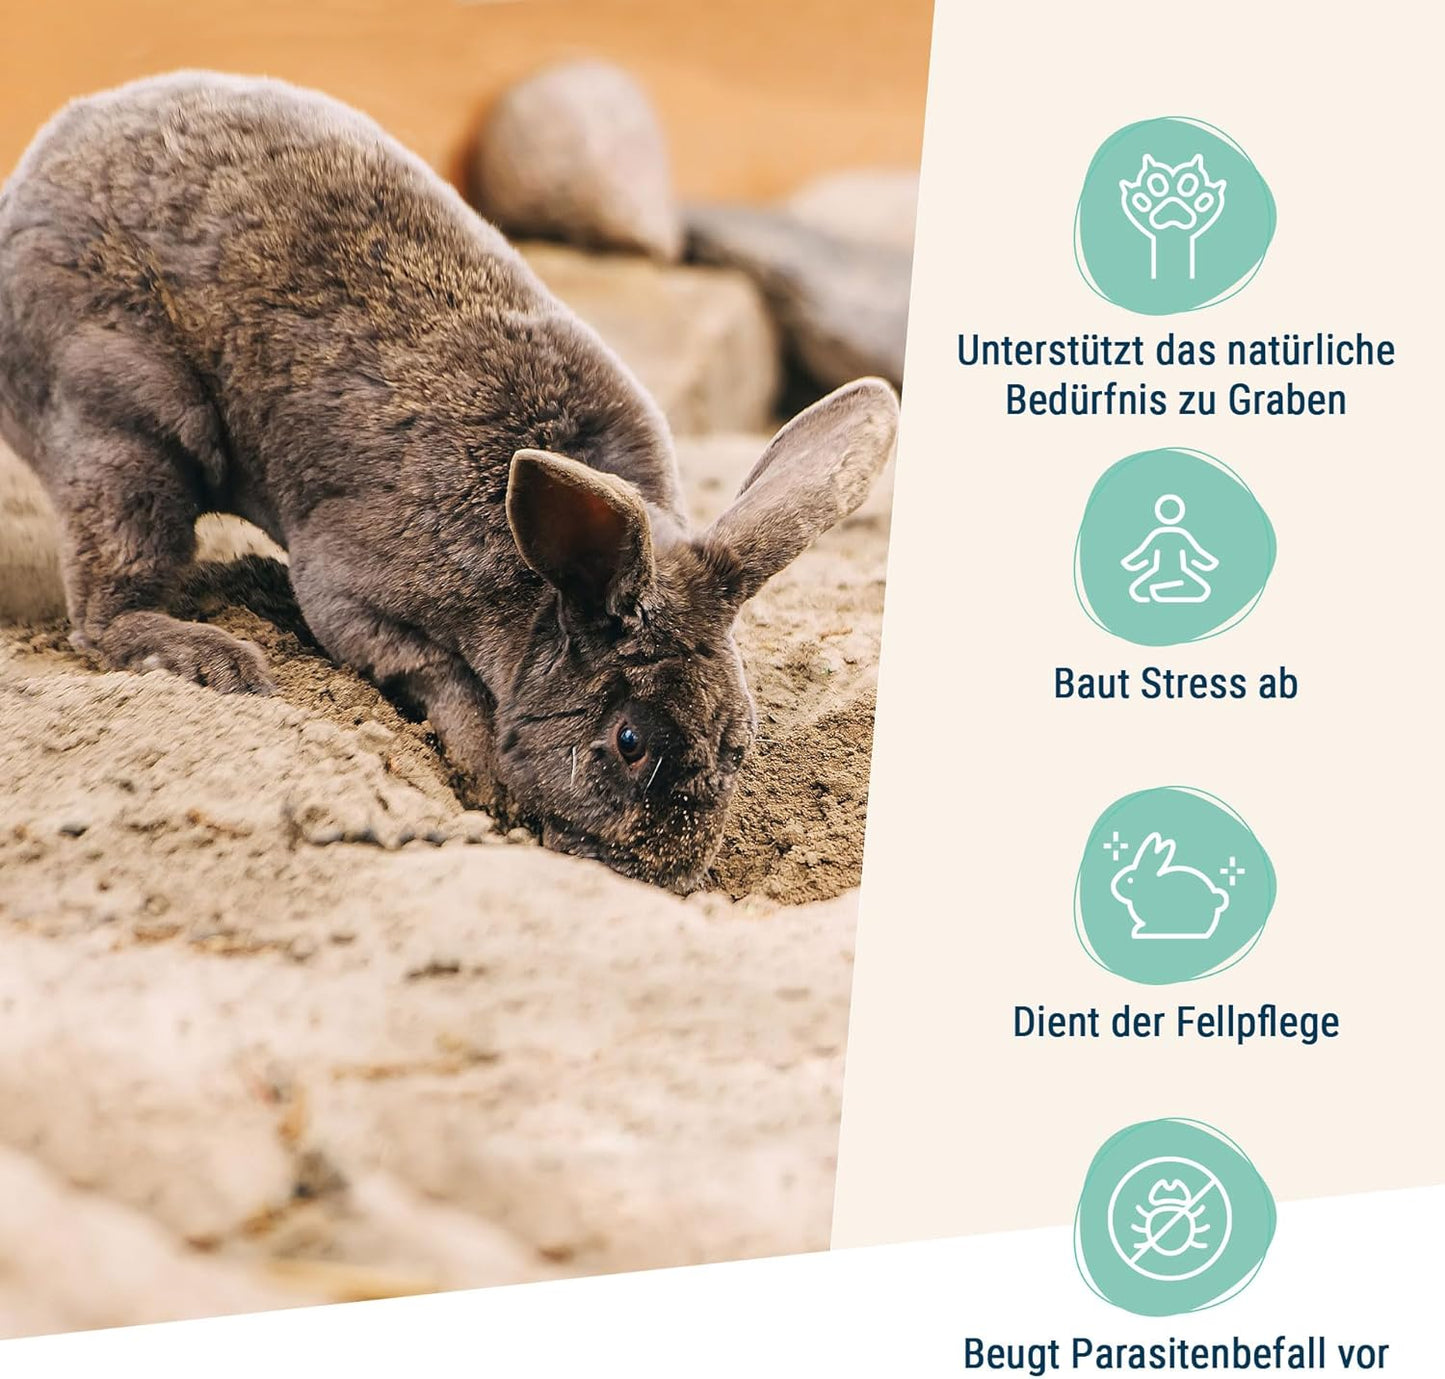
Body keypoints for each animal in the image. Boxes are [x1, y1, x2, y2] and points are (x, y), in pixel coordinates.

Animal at [0, 72, 899, 892]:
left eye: (737, 740)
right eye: (629, 742)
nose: (665, 876)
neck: (538, 597)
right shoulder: (347, 589)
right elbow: (439, 679)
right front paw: (486, 772)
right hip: (128, 428)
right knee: (106, 605)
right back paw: (215, 658)